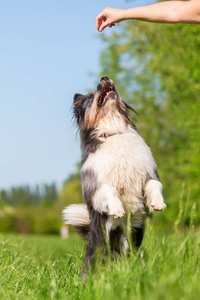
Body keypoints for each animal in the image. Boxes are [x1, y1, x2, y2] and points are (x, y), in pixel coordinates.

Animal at [63, 76, 166, 278]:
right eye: (91, 96)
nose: (104, 77)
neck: (113, 132)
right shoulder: (94, 186)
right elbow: (110, 191)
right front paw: (118, 209)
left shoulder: (147, 173)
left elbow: (155, 185)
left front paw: (157, 203)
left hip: (133, 249)